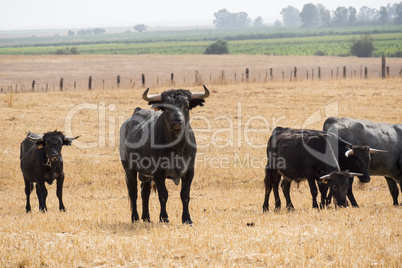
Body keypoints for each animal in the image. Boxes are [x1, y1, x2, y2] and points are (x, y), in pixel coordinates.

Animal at [119, 86, 210, 224]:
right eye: (166, 107)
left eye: (186, 105)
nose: (177, 122)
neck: (176, 148)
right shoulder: (158, 173)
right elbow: (163, 195)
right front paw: (164, 218)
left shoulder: (189, 171)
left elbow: (185, 195)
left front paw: (187, 219)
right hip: (129, 169)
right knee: (133, 192)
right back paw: (135, 218)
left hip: (146, 174)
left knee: (145, 192)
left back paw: (146, 218)